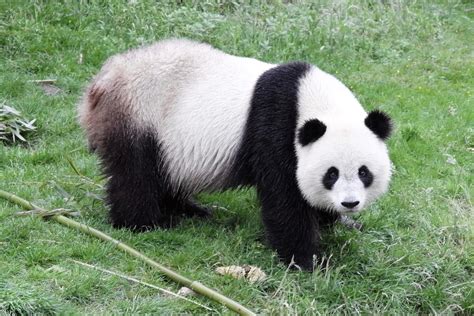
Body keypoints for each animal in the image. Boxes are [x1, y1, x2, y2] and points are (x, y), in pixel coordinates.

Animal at [79, 38, 392, 270]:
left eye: (364, 172)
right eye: (332, 174)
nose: (349, 203)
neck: (315, 99)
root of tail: (100, 82)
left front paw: (332, 221)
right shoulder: (276, 127)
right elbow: (284, 197)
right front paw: (307, 260)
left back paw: (190, 210)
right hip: (140, 115)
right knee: (135, 174)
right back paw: (145, 223)